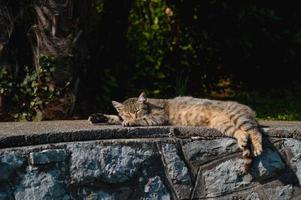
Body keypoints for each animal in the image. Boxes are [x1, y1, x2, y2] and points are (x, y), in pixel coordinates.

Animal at [88, 92, 262, 172]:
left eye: (137, 111)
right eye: (127, 113)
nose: (131, 117)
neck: (150, 104)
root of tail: (250, 109)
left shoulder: (158, 118)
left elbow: (143, 120)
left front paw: (132, 122)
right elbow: (115, 118)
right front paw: (98, 117)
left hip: (238, 117)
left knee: (254, 131)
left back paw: (257, 146)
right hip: (224, 125)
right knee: (242, 133)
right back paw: (243, 140)